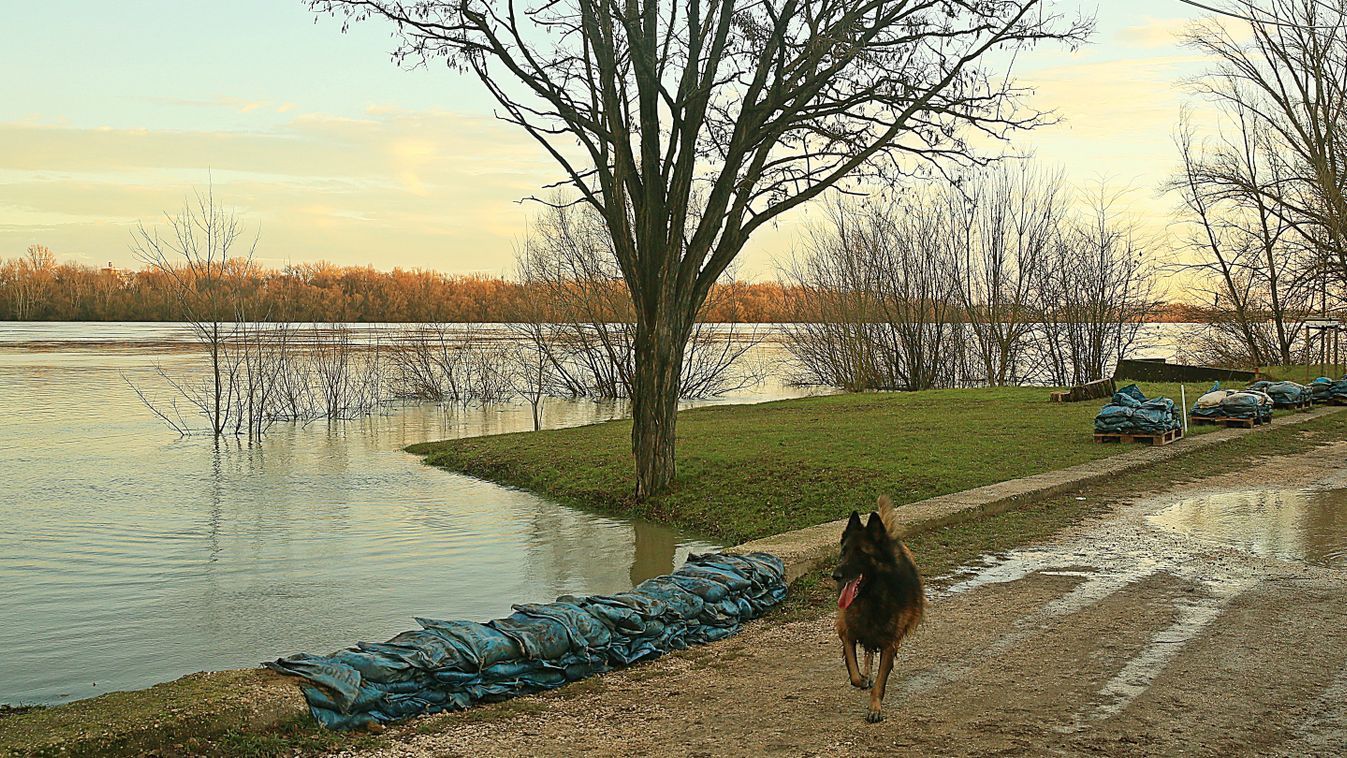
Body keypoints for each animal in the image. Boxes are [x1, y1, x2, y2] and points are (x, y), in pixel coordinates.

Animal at [829, 498, 926, 721]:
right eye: (843, 552)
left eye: (860, 553)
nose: (836, 575)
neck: (871, 596)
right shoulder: (846, 630)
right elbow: (853, 671)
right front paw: (863, 679)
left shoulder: (890, 643)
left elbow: (881, 681)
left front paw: (875, 707)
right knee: (867, 652)